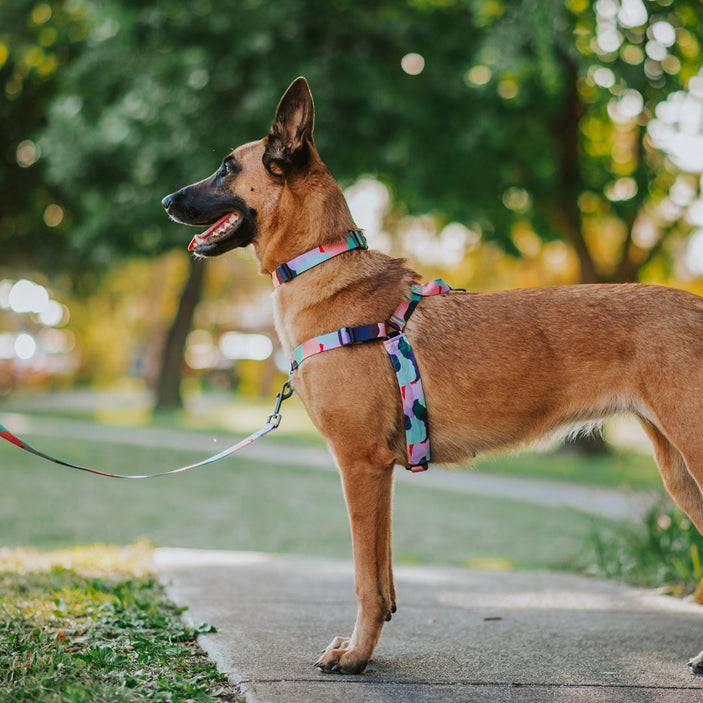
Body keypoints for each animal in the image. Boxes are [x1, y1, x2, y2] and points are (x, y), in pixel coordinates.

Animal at [162, 77, 703, 676]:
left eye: (227, 167)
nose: (166, 202)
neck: (321, 266)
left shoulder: (359, 465)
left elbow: (364, 581)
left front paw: (356, 658)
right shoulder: (380, 473)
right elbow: (384, 577)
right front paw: (364, 647)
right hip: (678, 473)